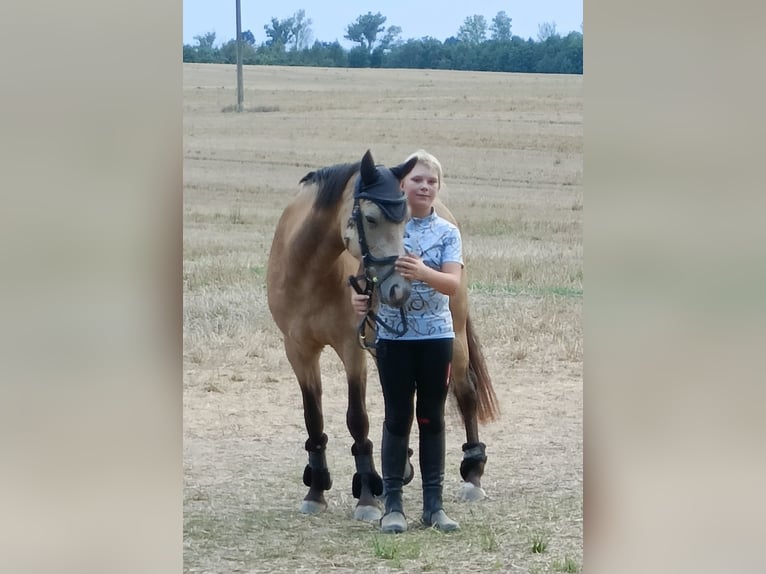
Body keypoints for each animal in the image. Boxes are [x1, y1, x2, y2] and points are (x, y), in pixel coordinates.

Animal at [266, 149, 499, 521]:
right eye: (371, 218)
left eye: (405, 221)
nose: (398, 289)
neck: (308, 271)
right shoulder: (298, 350)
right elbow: (312, 416)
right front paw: (316, 490)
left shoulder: (351, 348)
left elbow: (357, 418)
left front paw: (366, 496)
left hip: (456, 337)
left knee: (466, 392)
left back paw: (472, 475)